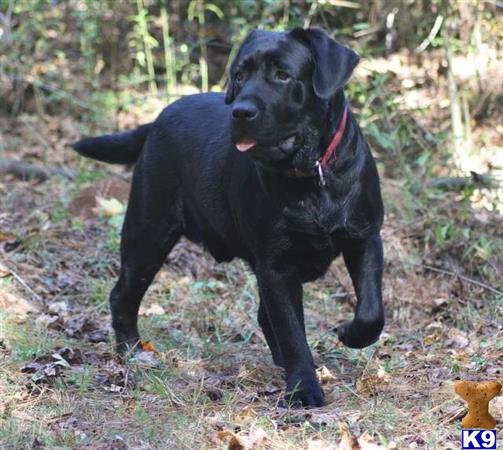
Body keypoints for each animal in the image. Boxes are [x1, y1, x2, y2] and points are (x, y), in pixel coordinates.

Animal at [73, 27, 384, 408]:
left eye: (283, 75)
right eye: (239, 75)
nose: (241, 111)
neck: (312, 175)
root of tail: (159, 118)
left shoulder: (364, 237)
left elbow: (371, 312)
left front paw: (349, 334)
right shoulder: (276, 264)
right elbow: (293, 332)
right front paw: (304, 389)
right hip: (147, 233)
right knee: (123, 295)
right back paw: (132, 351)